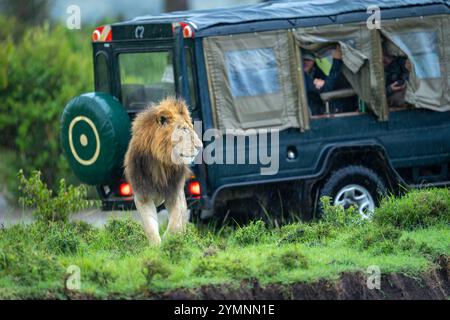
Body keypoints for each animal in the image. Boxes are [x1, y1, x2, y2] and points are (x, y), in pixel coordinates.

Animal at [122, 97, 201, 245]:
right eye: (184, 129)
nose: (201, 146)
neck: (160, 163)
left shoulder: (175, 193)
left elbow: (175, 224)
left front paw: (169, 240)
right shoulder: (143, 197)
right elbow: (150, 227)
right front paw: (156, 247)